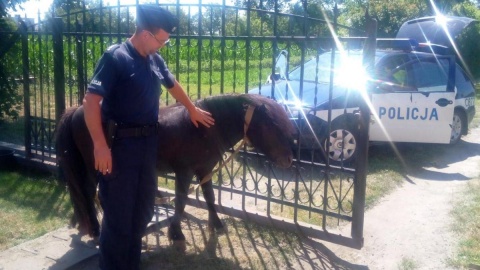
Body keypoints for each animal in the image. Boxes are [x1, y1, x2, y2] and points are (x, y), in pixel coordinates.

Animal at [56, 93, 296, 247]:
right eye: (271, 125)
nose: (288, 160)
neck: (204, 127)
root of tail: (77, 110)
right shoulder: (184, 172)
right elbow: (181, 201)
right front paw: (176, 233)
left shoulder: (205, 170)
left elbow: (209, 197)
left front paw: (217, 225)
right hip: (95, 166)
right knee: (89, 193)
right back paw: (97, 230)